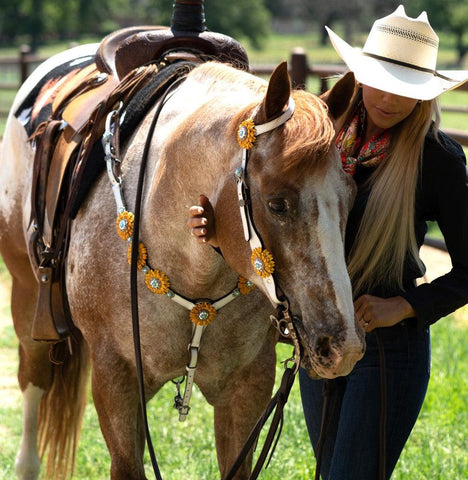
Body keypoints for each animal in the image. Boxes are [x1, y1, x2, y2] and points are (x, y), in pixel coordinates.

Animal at [0, 41, 366, 480]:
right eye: (277, 203)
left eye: (350, 197)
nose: (343, 346)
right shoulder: (116, 379)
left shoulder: (248, 386)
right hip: (28, 304)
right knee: (33, 382)